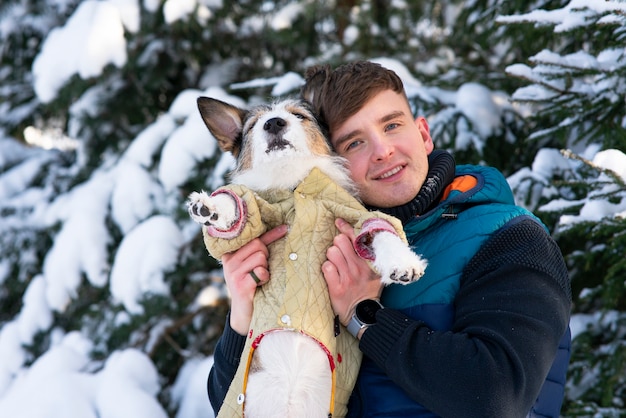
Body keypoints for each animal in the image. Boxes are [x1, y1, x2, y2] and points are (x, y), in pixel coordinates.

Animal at [188, 97, 426, 418]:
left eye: (299, 115)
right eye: (253, 125)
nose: (273, 123)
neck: (293, 186)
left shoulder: (351, 213)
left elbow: (379, 230)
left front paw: (403, 262)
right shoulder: (259, 211)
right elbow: (238, 208)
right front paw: (210, 208)